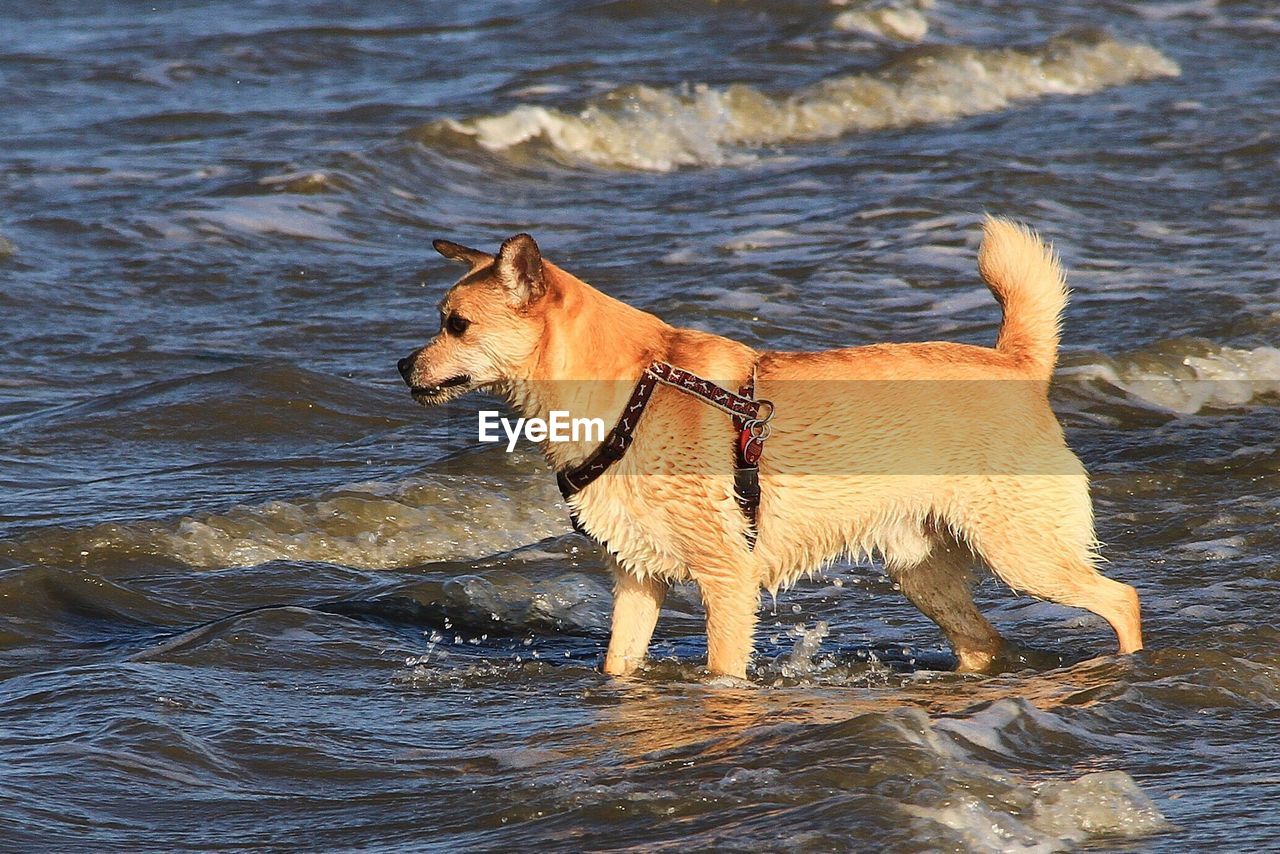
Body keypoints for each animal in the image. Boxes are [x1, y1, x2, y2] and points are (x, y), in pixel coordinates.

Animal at [396, 218, 1141, 681]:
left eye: (455, 325)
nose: (402, 366)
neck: (630, 392)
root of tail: (1018, 365)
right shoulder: (636, 579)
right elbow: (617, 664)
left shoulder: (726, 579)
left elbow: (722, 672)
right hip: (921, 570)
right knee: (984, 644)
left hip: (1023, 553)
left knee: (1122, 599)